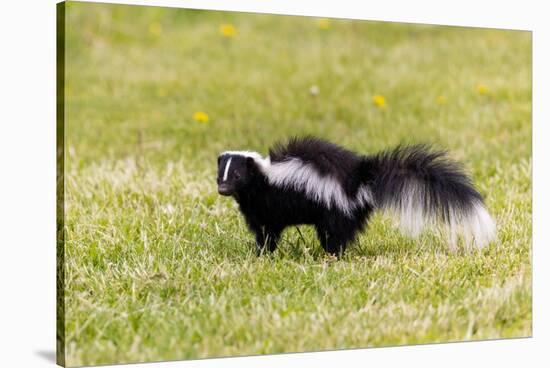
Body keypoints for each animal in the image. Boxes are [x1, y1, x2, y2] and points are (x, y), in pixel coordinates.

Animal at [218, 136, 498, 256]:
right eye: (220, 174)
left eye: (237, 176)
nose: (222, 190)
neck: (263, 177)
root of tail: (360, 179)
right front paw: (260, 252)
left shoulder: (268, 205)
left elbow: (268, 232)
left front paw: (262, 253)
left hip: (335, 207)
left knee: (335, 235)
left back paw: (331, 256)